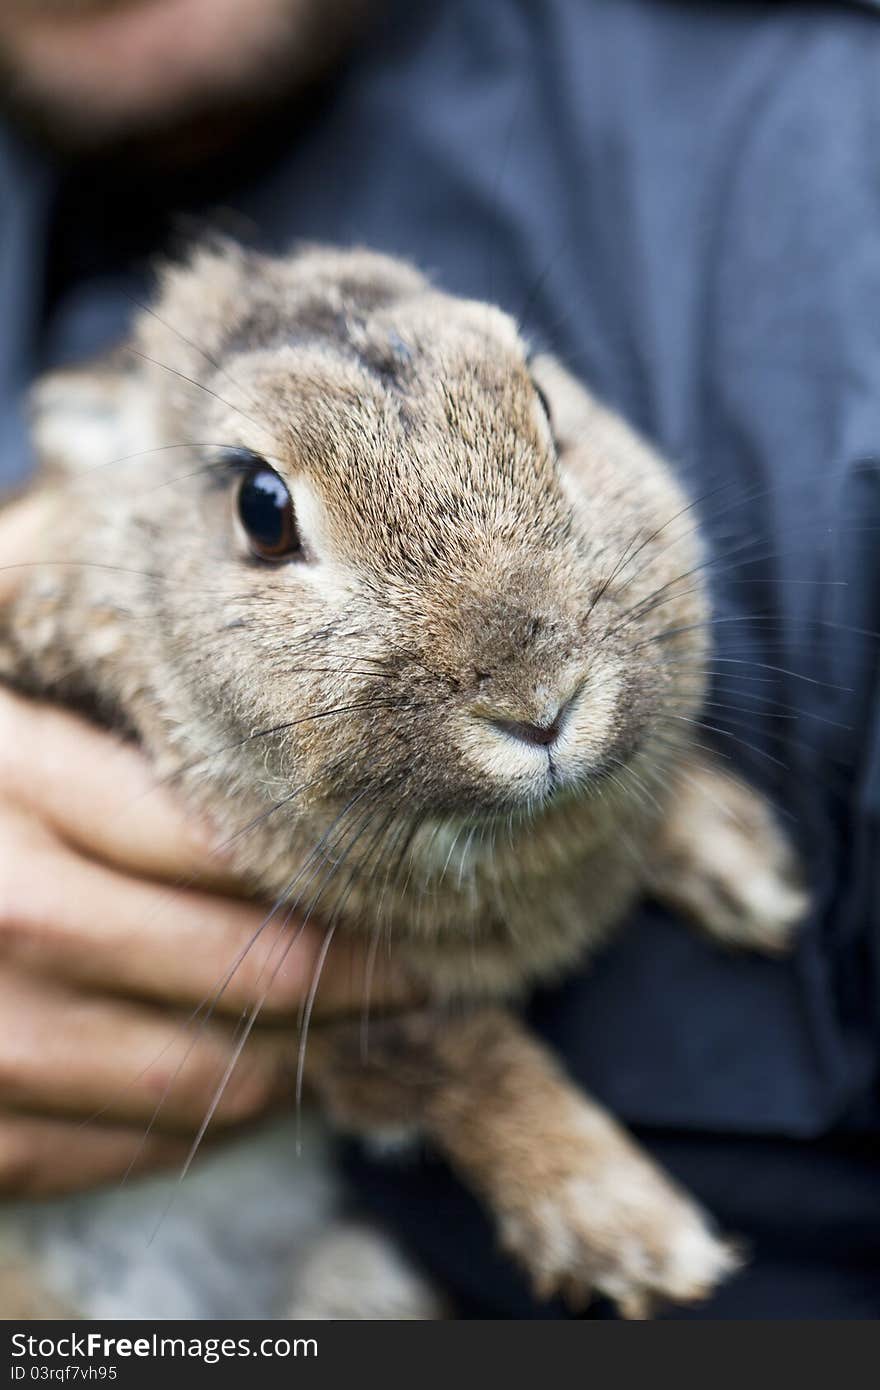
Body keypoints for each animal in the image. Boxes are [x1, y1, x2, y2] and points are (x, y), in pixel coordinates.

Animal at [0, 244, 800, 1317]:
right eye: (262, 508)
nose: (541, 699)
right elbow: (461, 1056)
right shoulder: (314, 1010)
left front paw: (747, 869)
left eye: (546, 404)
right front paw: (628, 1229)